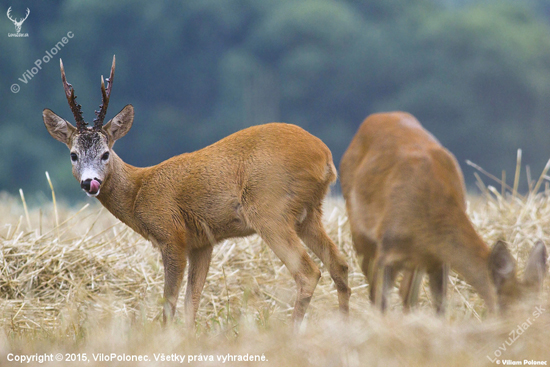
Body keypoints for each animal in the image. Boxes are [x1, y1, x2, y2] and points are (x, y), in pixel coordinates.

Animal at [44, 56, 354, 328]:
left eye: (106, 153)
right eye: (73, 155)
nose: (90, 183)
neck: (139, 190)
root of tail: (325, 158)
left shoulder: (172, 235)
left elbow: (169, 302)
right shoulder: (202, 243)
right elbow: (191, 301)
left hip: (269, 209)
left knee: (308, 271)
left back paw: (293, 332)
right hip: (308, 213)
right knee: (339, 263)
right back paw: (344, 327)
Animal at [340, 111, 548, 314]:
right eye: (509, 312)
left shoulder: (438, 261)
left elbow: (440, 309)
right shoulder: (387, 253)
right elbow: (380, 305)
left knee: (406, 293)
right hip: (361, 236)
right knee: (375, 290)